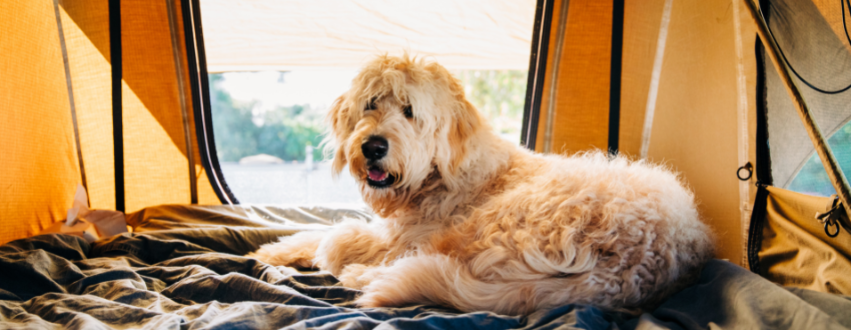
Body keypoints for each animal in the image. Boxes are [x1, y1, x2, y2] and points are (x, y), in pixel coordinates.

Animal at [250, 54, 716, 314]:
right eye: (371, 103)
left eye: (409, 111)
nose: (373, 146)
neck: (442, 173)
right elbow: (317, 232)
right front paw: (274, 250)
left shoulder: (400, 238)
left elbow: (336, 236)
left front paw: (325, 255)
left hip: (494, 223)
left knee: (423, 266)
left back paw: (363, 277)